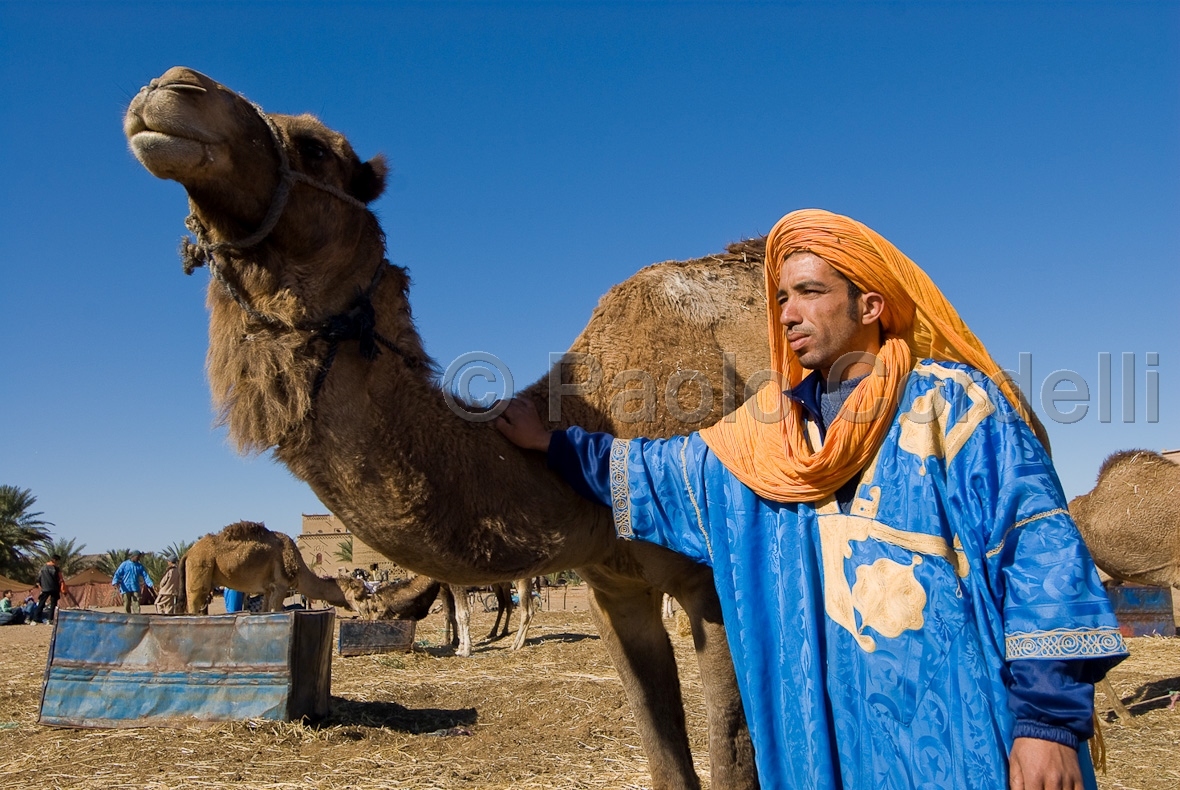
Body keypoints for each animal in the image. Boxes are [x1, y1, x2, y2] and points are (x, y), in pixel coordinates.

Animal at [176, 519, 363, 614]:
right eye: (361, 594)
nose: (364, 612)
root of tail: (188, 553)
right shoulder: (280, 586)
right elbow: (275, 611)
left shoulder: (267, 590)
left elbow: (264, 611)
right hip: (200, 569)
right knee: (194, 604)